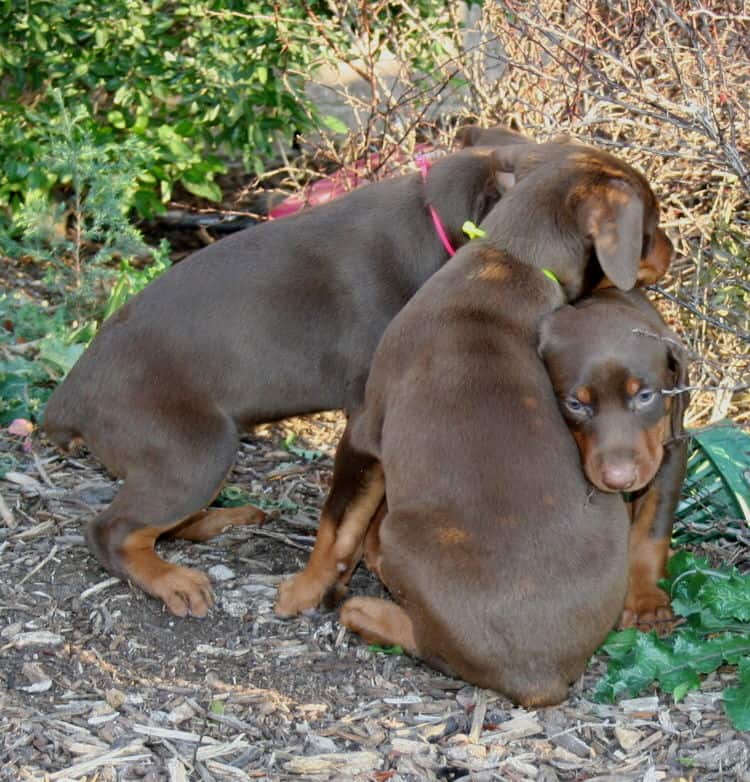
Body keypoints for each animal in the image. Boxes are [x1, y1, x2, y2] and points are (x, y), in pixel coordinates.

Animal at [44, 142, 516, 620]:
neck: (432, 219)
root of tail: (66, 401)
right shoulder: (366, 412)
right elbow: (348, 515)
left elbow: (375, 508)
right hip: (197, 448)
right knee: (112, 529)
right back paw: (172, 580)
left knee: (163, 523)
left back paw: (223, 520)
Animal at [540, 290, 692, 636]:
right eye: (575, 404)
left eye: (646, 396)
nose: (618, 479)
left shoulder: (672, 448)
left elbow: (650, 530)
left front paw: (646, 601)